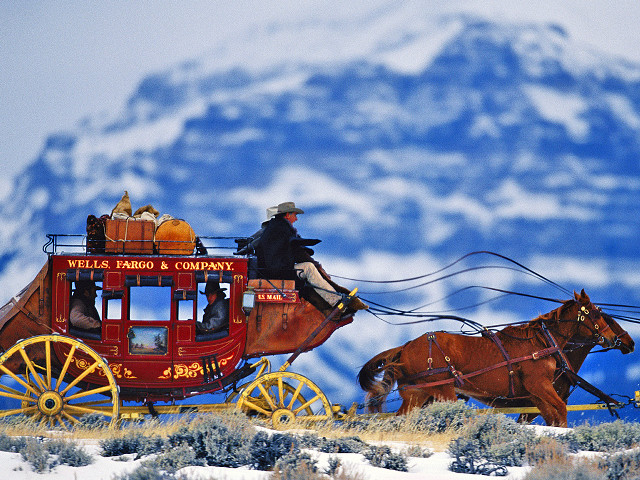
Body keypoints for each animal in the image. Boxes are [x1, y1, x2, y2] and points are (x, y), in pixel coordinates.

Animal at [358, 290, 625, 427]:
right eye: (597, 314)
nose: (614, 338)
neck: (540, 343)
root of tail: (405, 347)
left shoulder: (535, 394)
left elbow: (551, 415)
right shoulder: (539, 384)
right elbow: (560, 410)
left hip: (418, 393)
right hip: (443, 390)